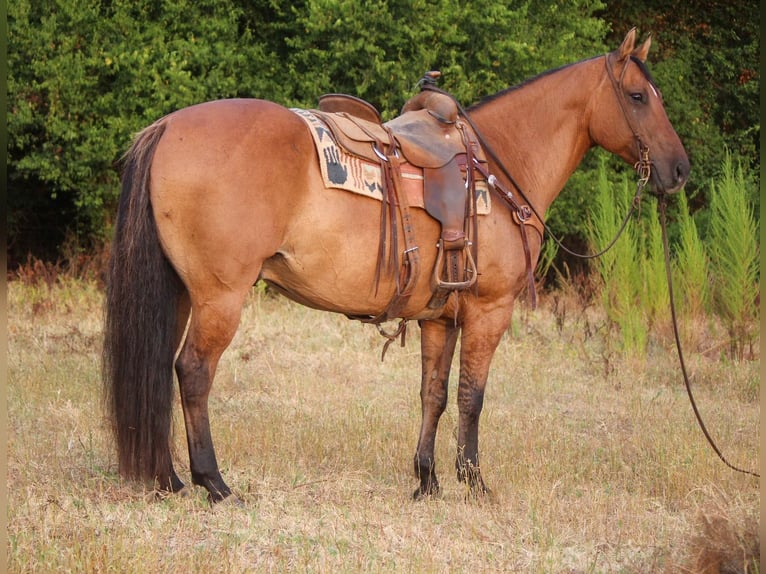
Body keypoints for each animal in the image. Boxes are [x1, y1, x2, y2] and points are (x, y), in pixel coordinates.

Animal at [100, 28, 688, 504]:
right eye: (638, 96)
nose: (679, 170)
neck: (501, 168)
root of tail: (166, 127)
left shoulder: (439, 317)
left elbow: (435, 394)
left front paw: (427, 481)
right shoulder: (488, 310)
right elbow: (473, 397)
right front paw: (474, 482)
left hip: (181, 292)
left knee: (162, 368)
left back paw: (169, 479)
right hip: (220, 295)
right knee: (194, 372)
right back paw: (215, 484)